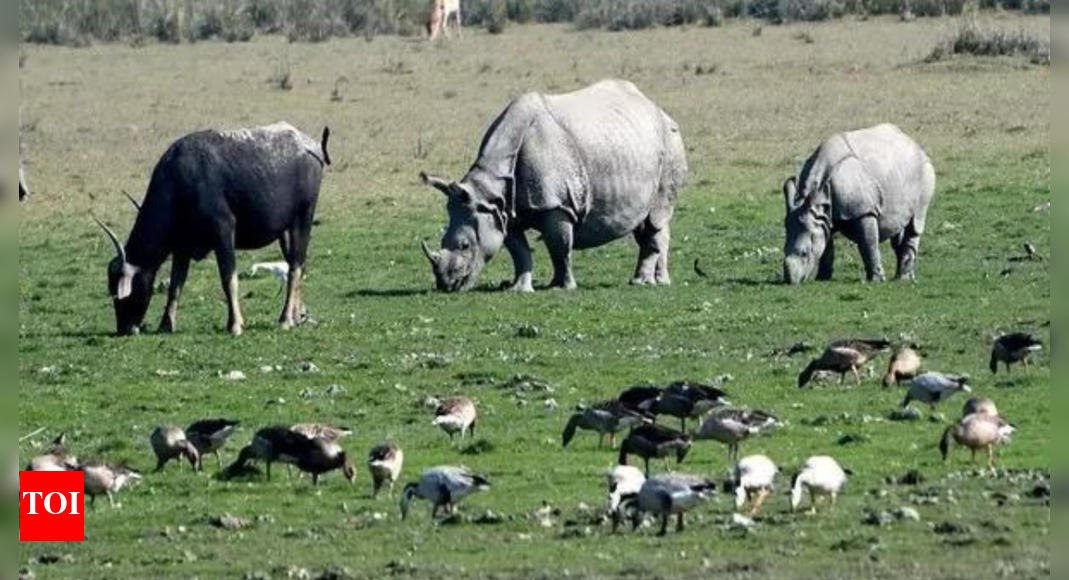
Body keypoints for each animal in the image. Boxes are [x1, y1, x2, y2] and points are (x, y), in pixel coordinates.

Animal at [420, 79, 687, 292]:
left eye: (465, 245)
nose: (446, 285)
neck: (488, 188)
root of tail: (656, 107)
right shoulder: (502, 210)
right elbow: (519, 251)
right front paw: (519, 288)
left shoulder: (554, 204)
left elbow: (559, 247)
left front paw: (562, 286)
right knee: (647, 222)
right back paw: (660, 281)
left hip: (670, 141)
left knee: (656, 215)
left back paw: (642, 282)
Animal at [782, 124, 936, 285]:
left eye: (804, 253)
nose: (790, 281)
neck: (817, 201)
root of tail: (914, 143)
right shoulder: (823, 216)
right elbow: (826, 247)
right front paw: (822, 278)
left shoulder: (864, 210)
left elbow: (869, 243)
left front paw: (876, 280)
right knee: (899, 226)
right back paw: (903, 277)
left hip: (925, 171)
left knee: (916, 222)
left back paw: (903, 279)